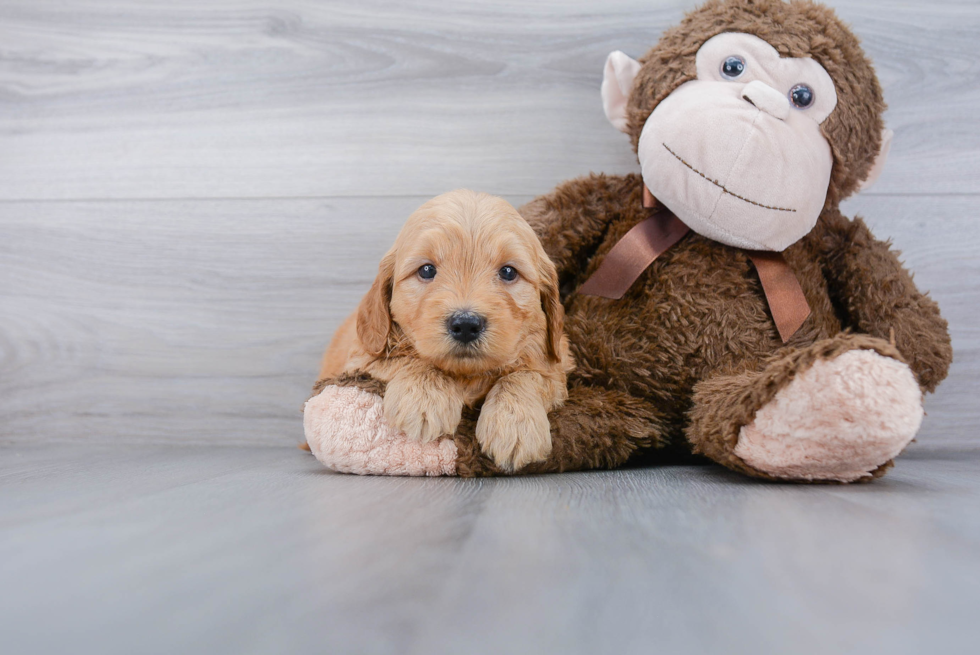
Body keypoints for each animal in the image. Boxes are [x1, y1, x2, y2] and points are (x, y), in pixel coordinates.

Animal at [314, 190, 576, 472]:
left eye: (508, 271)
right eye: (427, 270)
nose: (466, 324)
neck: (466, 376)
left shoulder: (558, 362)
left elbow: (528, 375)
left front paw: (514, 424)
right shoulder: (362, 358)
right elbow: (408, 359)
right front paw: (425, 398)